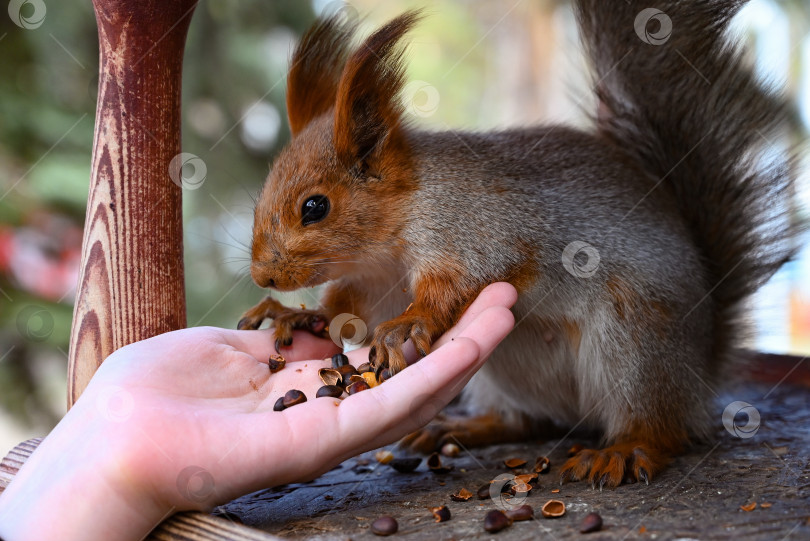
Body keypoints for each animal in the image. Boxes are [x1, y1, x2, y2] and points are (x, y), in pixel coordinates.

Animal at [237, 1, 800, 490]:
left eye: (315, 207)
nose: (264, 275)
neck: (390, 241)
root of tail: (701, 372)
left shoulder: (477, 230)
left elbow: (459, 281)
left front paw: (406, 325)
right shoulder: (372, 282)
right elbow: (344, 312)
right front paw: (296, 316)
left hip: (636, 340)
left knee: (660, 427)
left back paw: (626, 448)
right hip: (511, 372)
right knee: (533, 421)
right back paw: (465, 427)